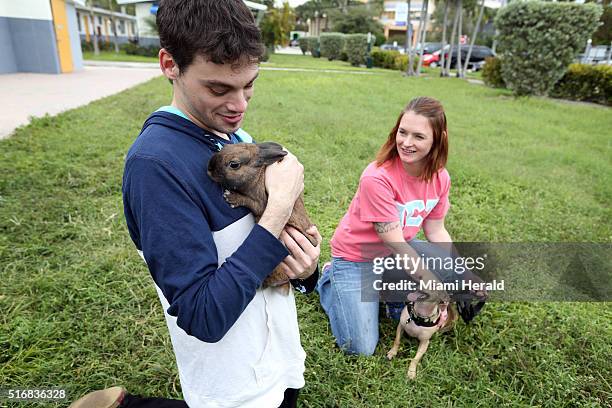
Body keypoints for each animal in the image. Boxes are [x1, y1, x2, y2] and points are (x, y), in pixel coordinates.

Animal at [208, 143, 318, 294]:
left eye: (234, 164)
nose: (209, 169)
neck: (257, 174)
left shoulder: (261, 202)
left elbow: (249, 202)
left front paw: (231, 197)